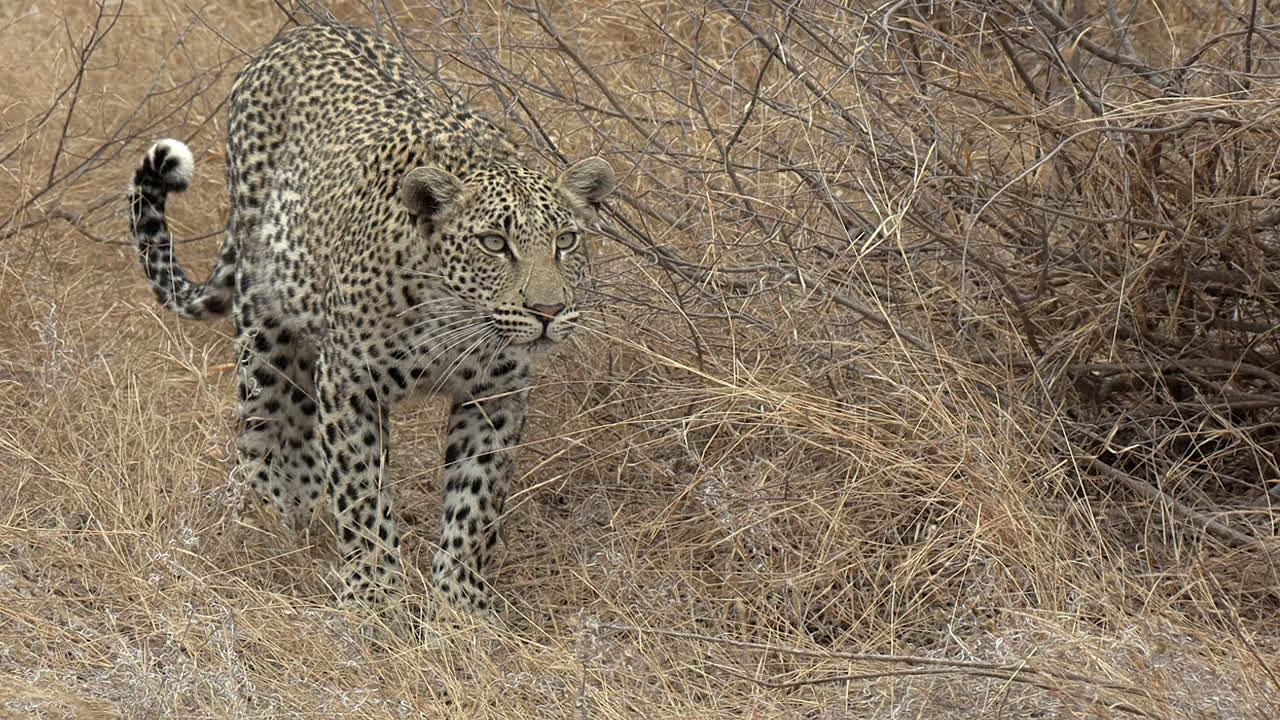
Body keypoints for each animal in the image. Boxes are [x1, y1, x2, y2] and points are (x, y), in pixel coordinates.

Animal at [126, 22, 614, 616]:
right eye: (494, 244)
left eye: (566, 241)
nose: (549, 311)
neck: (454, 318)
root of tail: (305, 30)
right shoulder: (351, 384)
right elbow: (362, 492)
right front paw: (375, 595)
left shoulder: (496, 394)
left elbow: (476, 501)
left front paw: (459, 604)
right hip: (265, 322)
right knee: (268, 420)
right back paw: (266, 517)